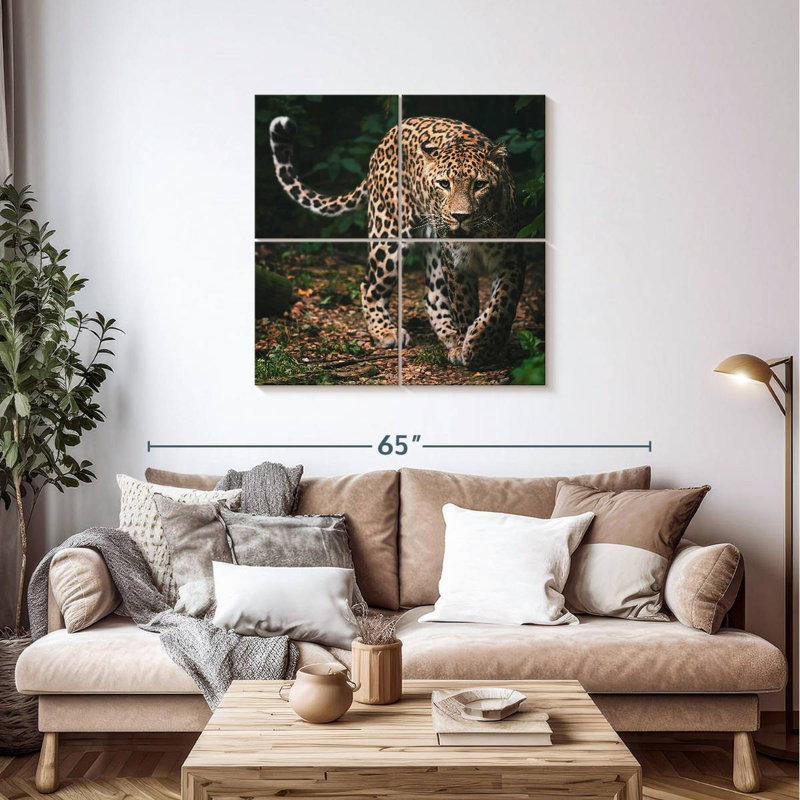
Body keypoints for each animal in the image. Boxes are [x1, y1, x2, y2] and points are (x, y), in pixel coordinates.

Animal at [269, 114, 525, 366]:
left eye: (480, 185)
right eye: (444, 184)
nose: (460, 217)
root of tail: (390, 134)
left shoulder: (511, 259)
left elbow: (501, 306)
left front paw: (481, 344)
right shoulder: (456, 264)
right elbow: (464, 306)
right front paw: (470, 347)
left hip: (432, 247)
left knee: (432, 295)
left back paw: (449, 335)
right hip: (388, 235)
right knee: (369, 286)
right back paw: (386, 332)